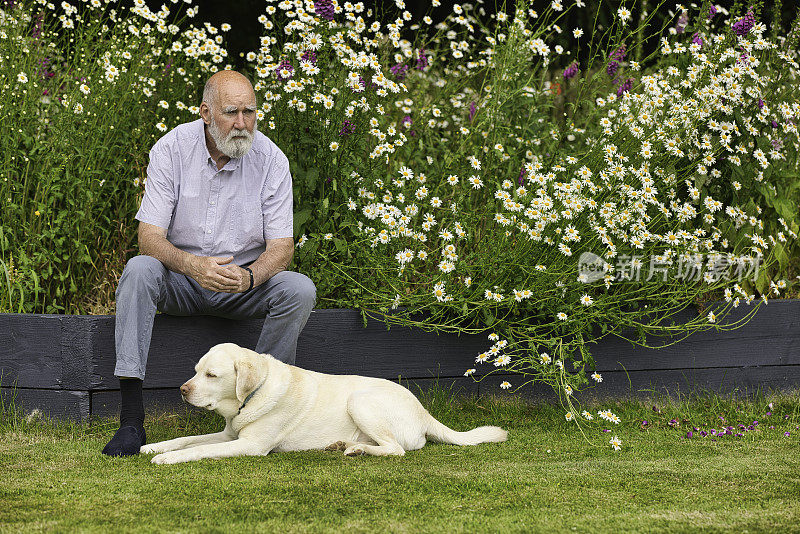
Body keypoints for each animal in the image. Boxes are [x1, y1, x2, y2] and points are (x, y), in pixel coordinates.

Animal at [140, 344, 506, 464]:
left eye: (212, 375)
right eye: (196, 370)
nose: (183, 390)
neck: (253, 394)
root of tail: (424, 411)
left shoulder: (250, 446)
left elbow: (200, 449)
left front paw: (168, 459)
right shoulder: (230, 435)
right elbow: (187, 439)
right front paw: (154, 447)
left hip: (361, 401)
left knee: (395, 450)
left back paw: (357, 450)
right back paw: (344, 445)